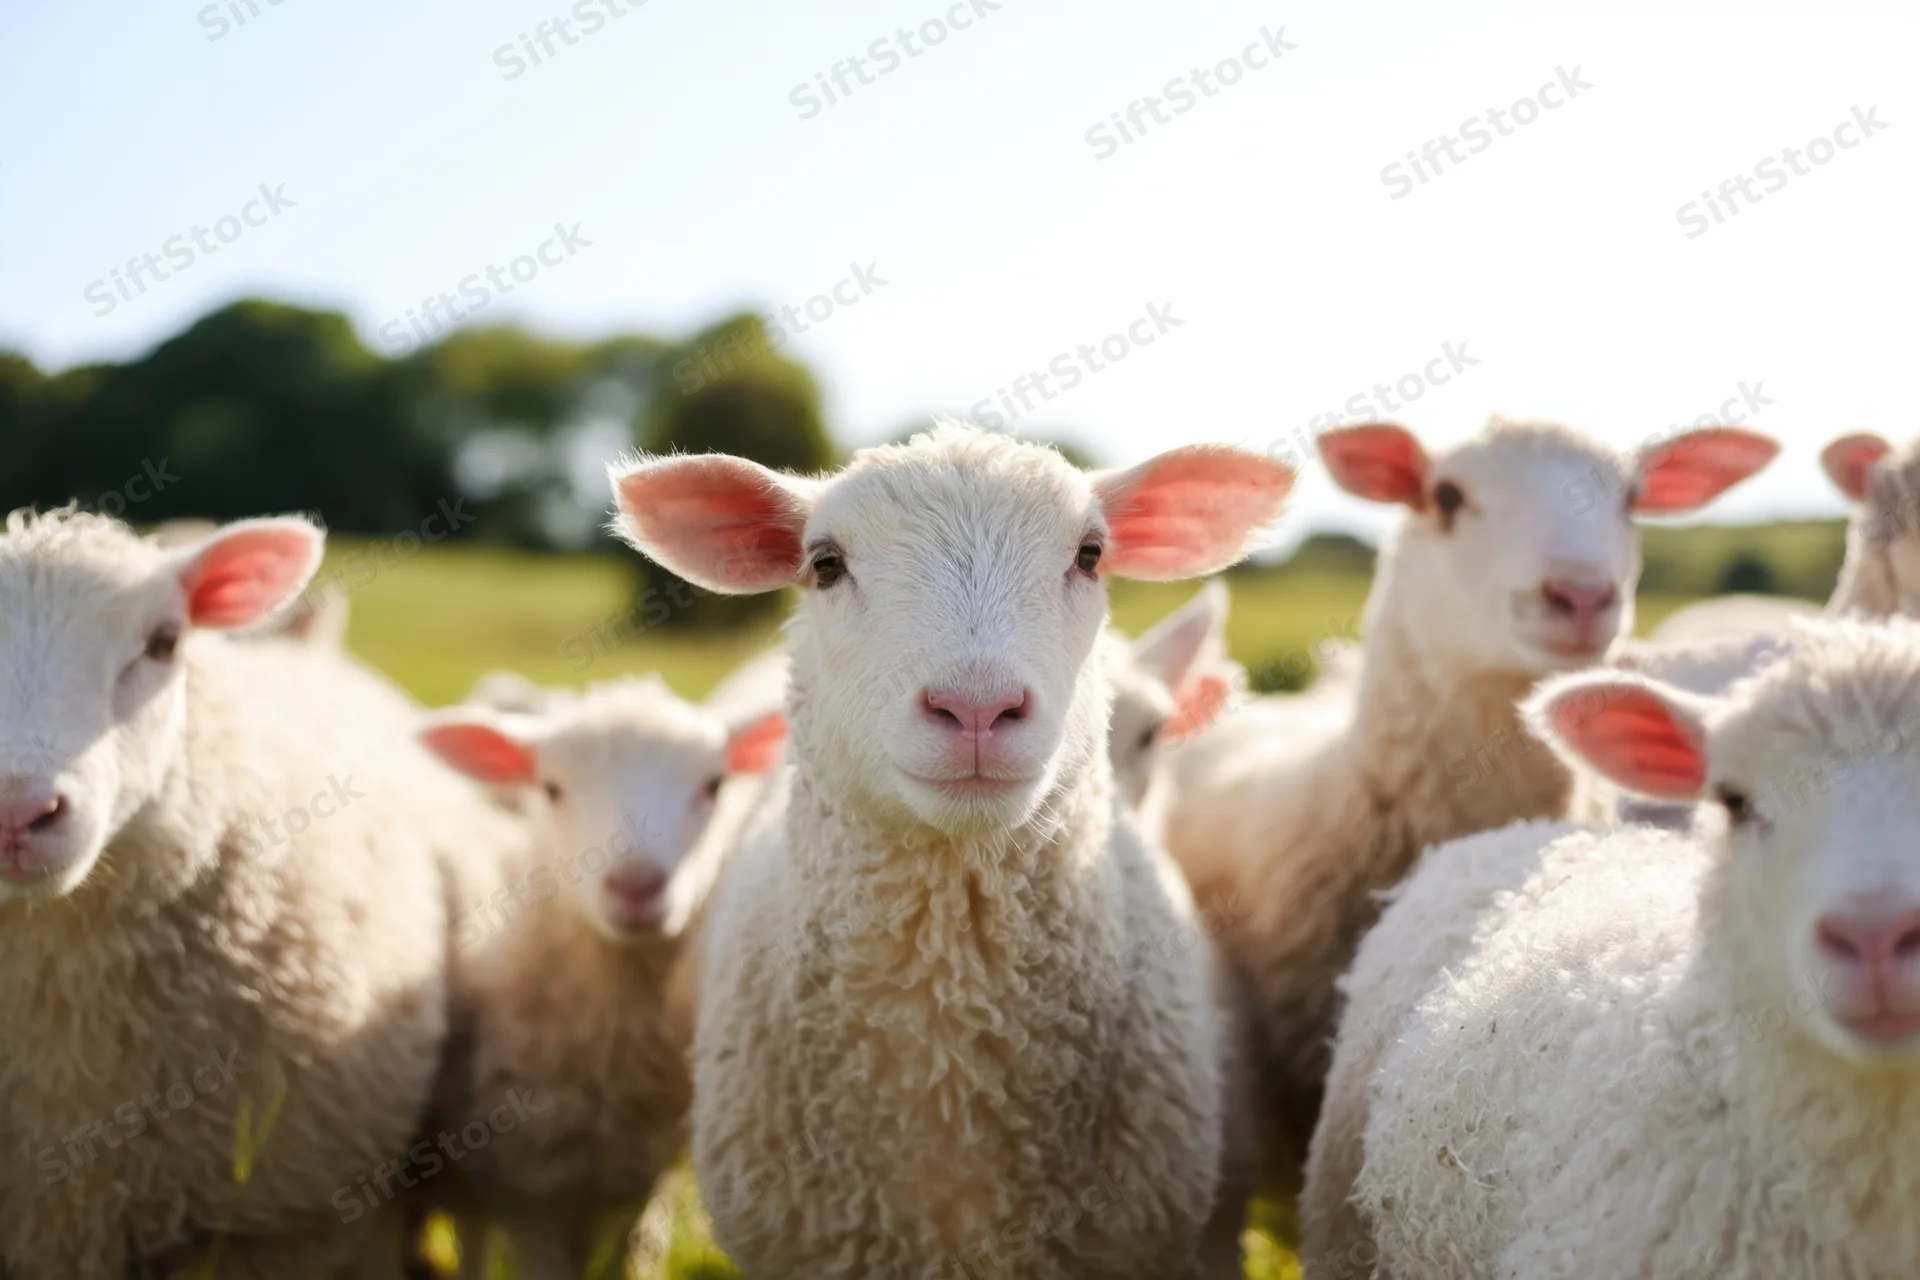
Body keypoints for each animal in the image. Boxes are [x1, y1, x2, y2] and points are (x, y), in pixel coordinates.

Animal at [414, 674, 785, 1279]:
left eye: (713, 785)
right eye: (551, 789)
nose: (636, 885)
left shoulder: (638, 1182)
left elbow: (627, 1256)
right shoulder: (530, 1195)